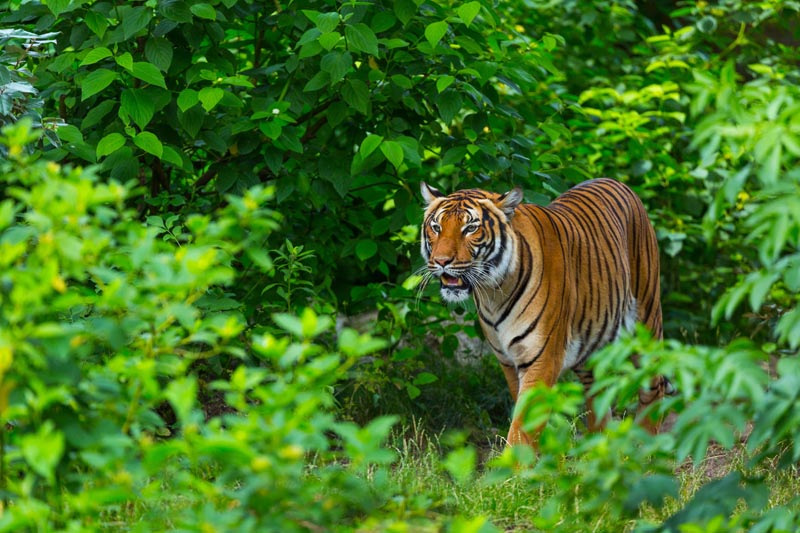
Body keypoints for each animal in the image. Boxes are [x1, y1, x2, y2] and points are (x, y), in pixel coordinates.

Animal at [419, 178, 672, 446]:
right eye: (436, 227)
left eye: (470, 228)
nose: (441, 261)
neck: (493, 293)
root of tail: (616, 181)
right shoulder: (507, 361)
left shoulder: (542, 358)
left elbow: (522, 429)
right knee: (598, 398)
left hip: (645, 322)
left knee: (654, 387)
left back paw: (647, 446)